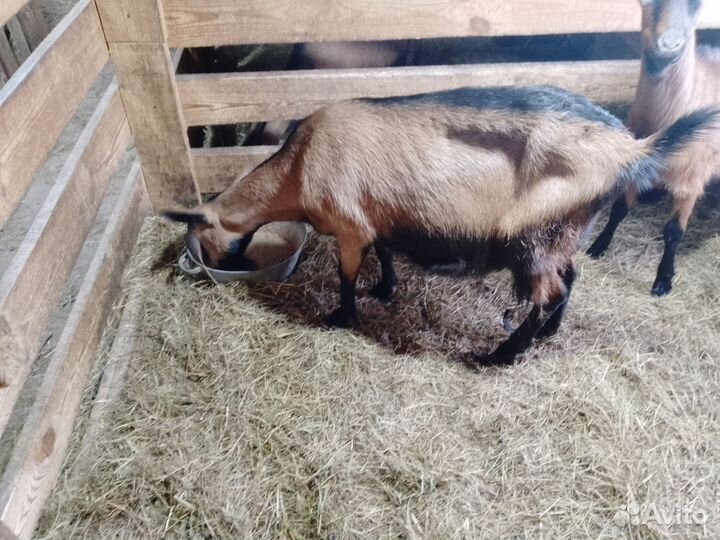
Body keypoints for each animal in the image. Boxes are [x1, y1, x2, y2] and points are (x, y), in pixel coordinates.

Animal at [166, 86, 718, 366]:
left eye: (201, 243)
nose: (223, 265)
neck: (298, 168)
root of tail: (630, 149)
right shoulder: (375, 221)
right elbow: (384, 253)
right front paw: (384, 289)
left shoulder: (349, 226)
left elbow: (345, 276)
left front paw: (340, 317)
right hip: (565, 231)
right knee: (571, 278)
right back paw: (545, 335)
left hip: (532, 237)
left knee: (548, 292)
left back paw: (501, 355)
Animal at [587, 0, 720, 296]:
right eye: (649, 2)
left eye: (697, 5)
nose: (669, 45)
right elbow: (619, 209)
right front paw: (598, 246)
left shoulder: (692, 180)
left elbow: (673, 232)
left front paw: (663, 280)